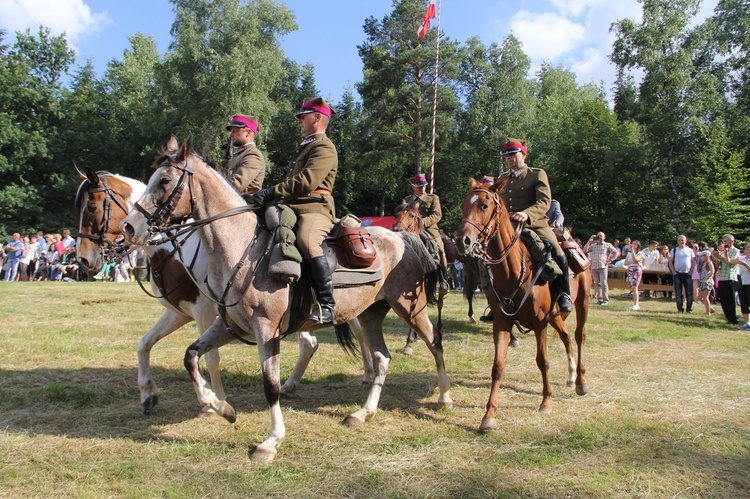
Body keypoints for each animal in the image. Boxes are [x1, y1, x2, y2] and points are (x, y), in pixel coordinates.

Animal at [74, 166, 326, 416]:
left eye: (92, 207)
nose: (84, 259)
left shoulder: (204, 311)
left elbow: (212, 358)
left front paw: (215, 402)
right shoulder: (179, 312)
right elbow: (144, 343)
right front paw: (147, 395)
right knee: (309, 343)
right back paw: (289, 386)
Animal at [120, 135, 456, 462]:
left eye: (164, 180)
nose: (129, 227)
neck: (242, 248)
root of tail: (401, 237)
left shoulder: (265, 329)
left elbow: (270, 386)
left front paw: (270, 441)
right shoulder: (229, 325)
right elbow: (190, 356)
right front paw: (221, 407)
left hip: (411, 308)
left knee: (434, 342)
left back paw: (444, 396)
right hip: (370, 313)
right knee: (382, 358)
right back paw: (363, 412)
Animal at [452, 178, 592, 432]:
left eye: (484, 205)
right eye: (463, 205)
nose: (462, 241)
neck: (514, 269)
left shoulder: (539, 323)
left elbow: (543, 361)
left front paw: (546, 401)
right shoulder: (502, 323)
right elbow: (498, 366)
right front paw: (489, 415)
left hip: (582, 303)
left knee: (579, 336)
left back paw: (580, 381)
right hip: (556, 316)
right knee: (566, 336)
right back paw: (570, 376)